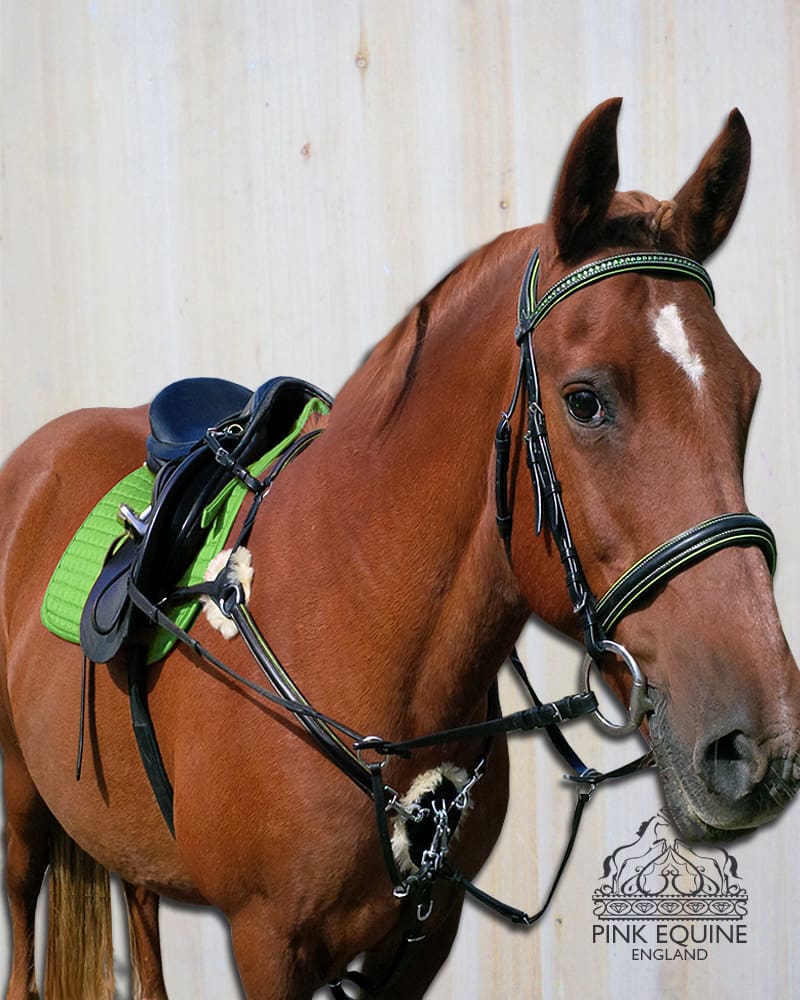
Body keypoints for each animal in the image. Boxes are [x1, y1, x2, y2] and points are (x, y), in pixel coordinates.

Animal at [1, 96, 799, 1000]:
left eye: (747, 392)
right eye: (585, 400)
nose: (757, 743)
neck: (352, 611)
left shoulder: (425, 933)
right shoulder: (266, 942)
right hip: (22, 792)